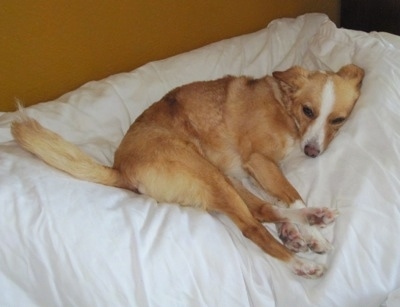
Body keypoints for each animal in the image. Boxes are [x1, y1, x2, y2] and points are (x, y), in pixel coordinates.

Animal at [10, 64, 364, 280]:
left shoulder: (252, 171)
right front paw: (313, 234)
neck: (283, 105)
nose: (312, 153)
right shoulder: (259, 161)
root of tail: (120, 169)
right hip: (210, 175)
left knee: (263, 209)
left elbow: (280, 199)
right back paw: (303, 259)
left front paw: (306, 231)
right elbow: (291, 195)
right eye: (308, 111)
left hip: (223, 178)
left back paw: (308, 221)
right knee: (254, 228)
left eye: (338, 120)